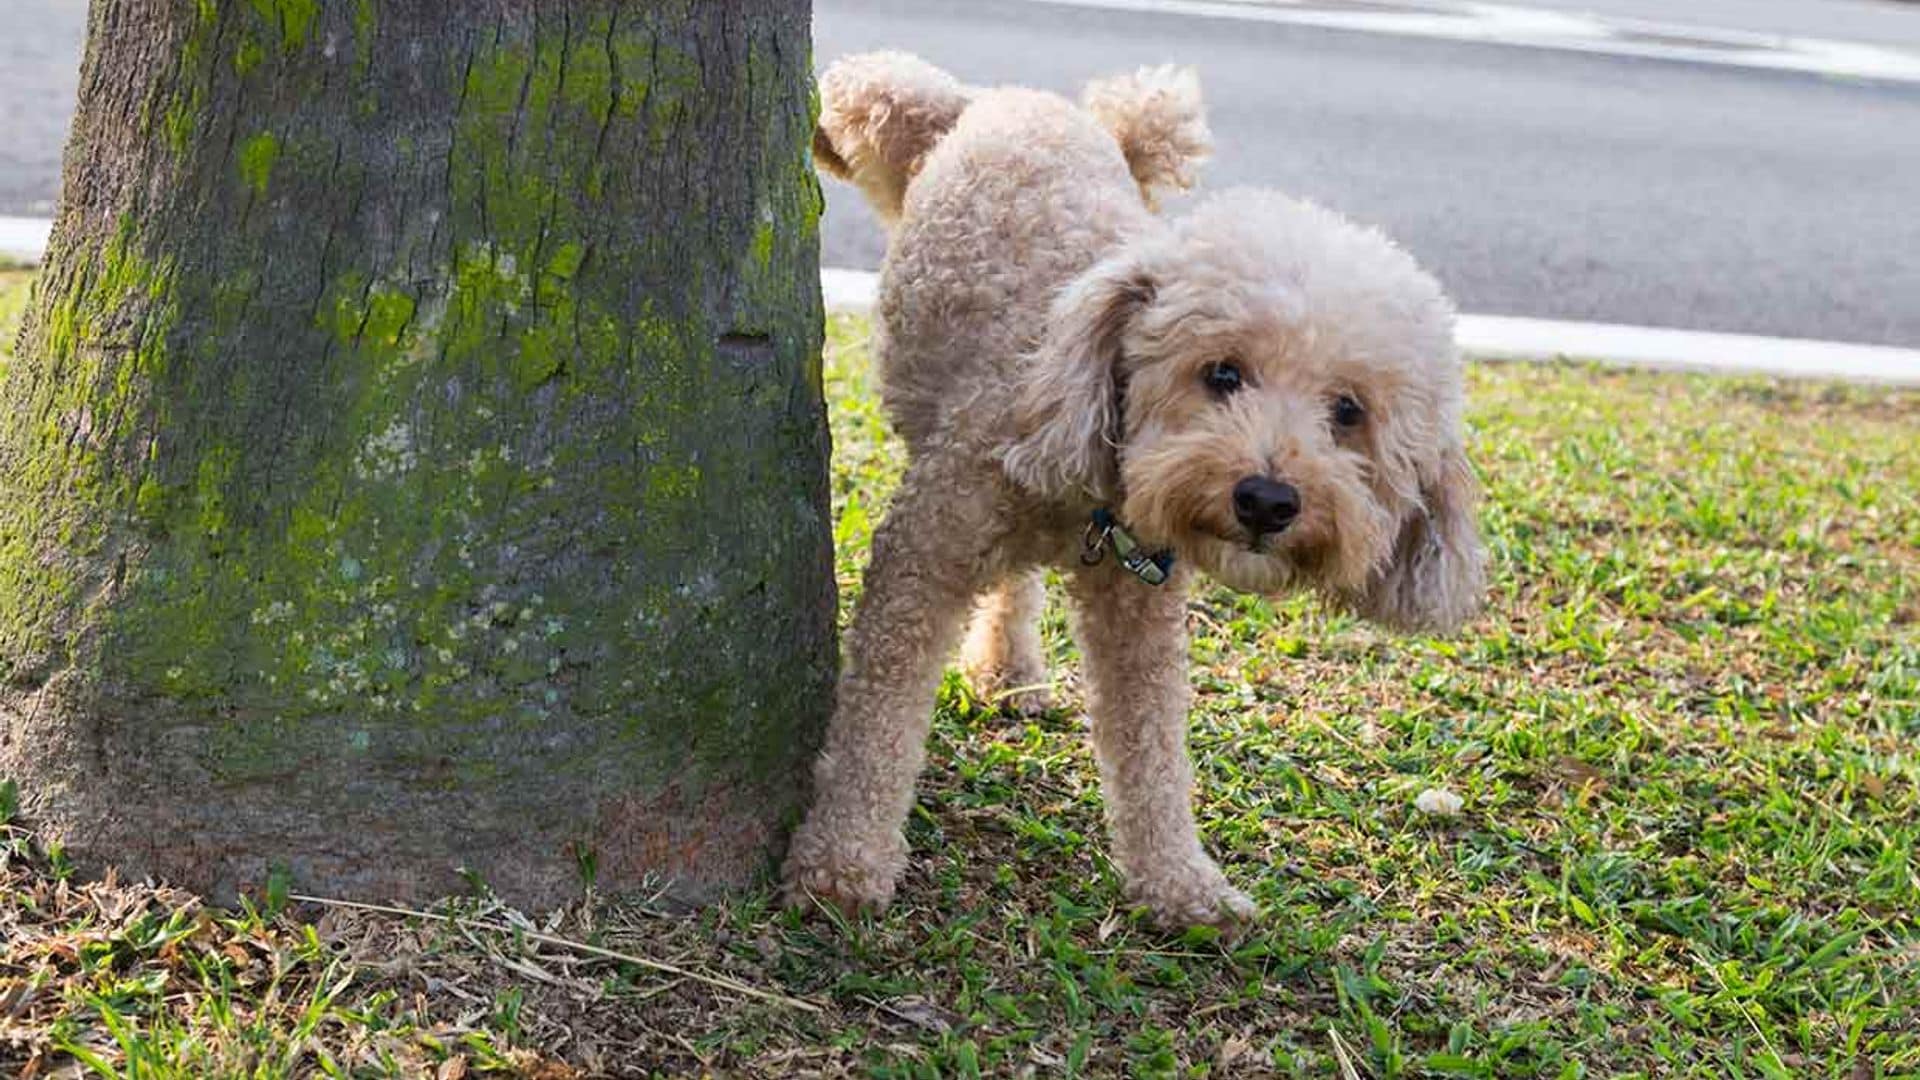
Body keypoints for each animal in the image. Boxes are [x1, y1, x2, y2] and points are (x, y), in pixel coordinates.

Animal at [779, 52, 1482, 926]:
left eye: (1348, 412)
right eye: (1222, 373)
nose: (1267, 500)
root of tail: (1026, 102)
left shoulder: (1139, 605)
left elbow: (1151, 748)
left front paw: (1180, 882)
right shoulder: (924, 554)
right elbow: (878, 719)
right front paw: (843, 860)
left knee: (1015, 587)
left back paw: (1010, 670)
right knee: (873, 83)